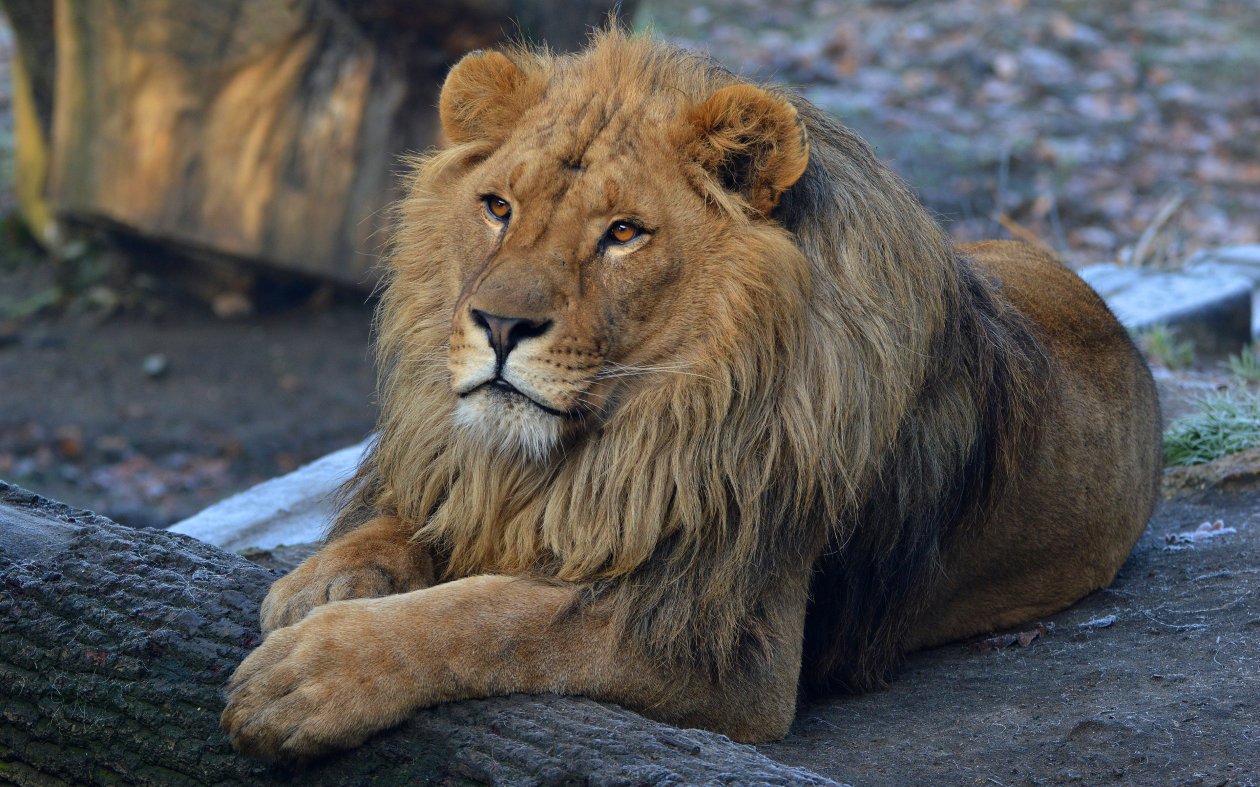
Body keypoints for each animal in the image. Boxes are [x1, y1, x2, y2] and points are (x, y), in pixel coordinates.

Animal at [221, 29, 1162, 760]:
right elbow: (409, 518)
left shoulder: (725, 638)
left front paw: (313, 671)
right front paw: (320, 584)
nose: (498, 324)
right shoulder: (469, 476)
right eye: (497, 206)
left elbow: (495, 616)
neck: (622, 435)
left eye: (623, 234)